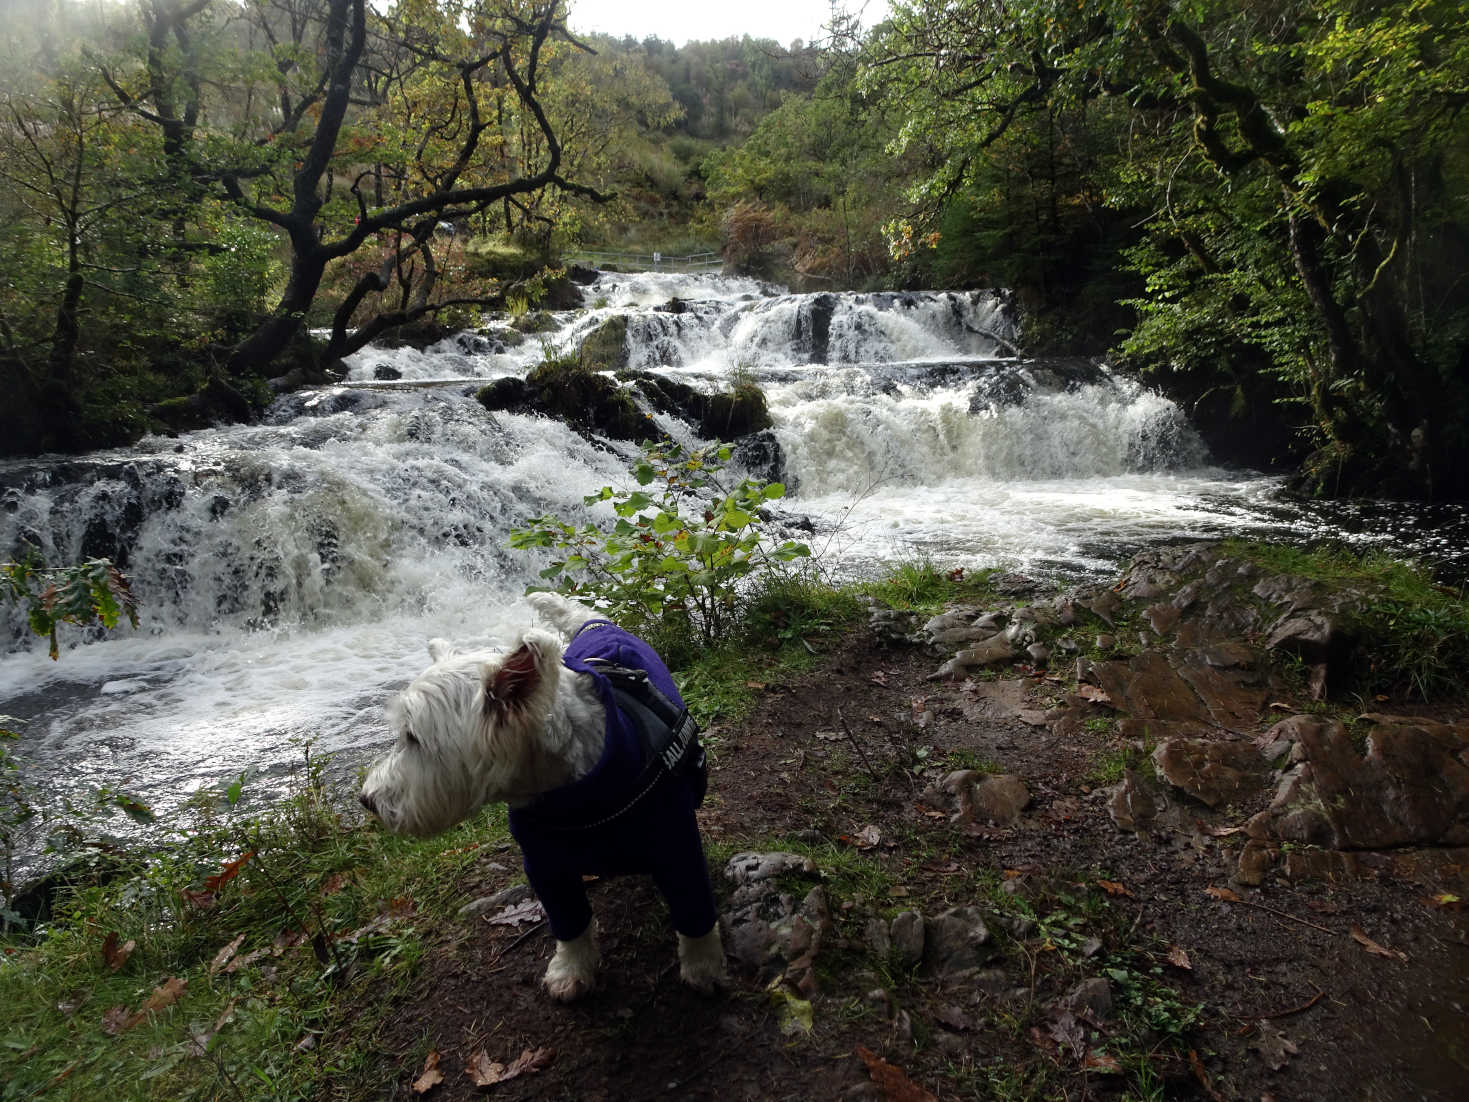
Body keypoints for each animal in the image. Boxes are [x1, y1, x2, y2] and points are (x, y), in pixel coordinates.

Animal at [361, 596, 728, 999]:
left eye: (413, 737)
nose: (367, 800)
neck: (572, 797)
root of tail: (596, 624)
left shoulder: (676, 845)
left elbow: (693, 911)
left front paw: (704, 965)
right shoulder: (544, 864)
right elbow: (569, 922)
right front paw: (571, 969)